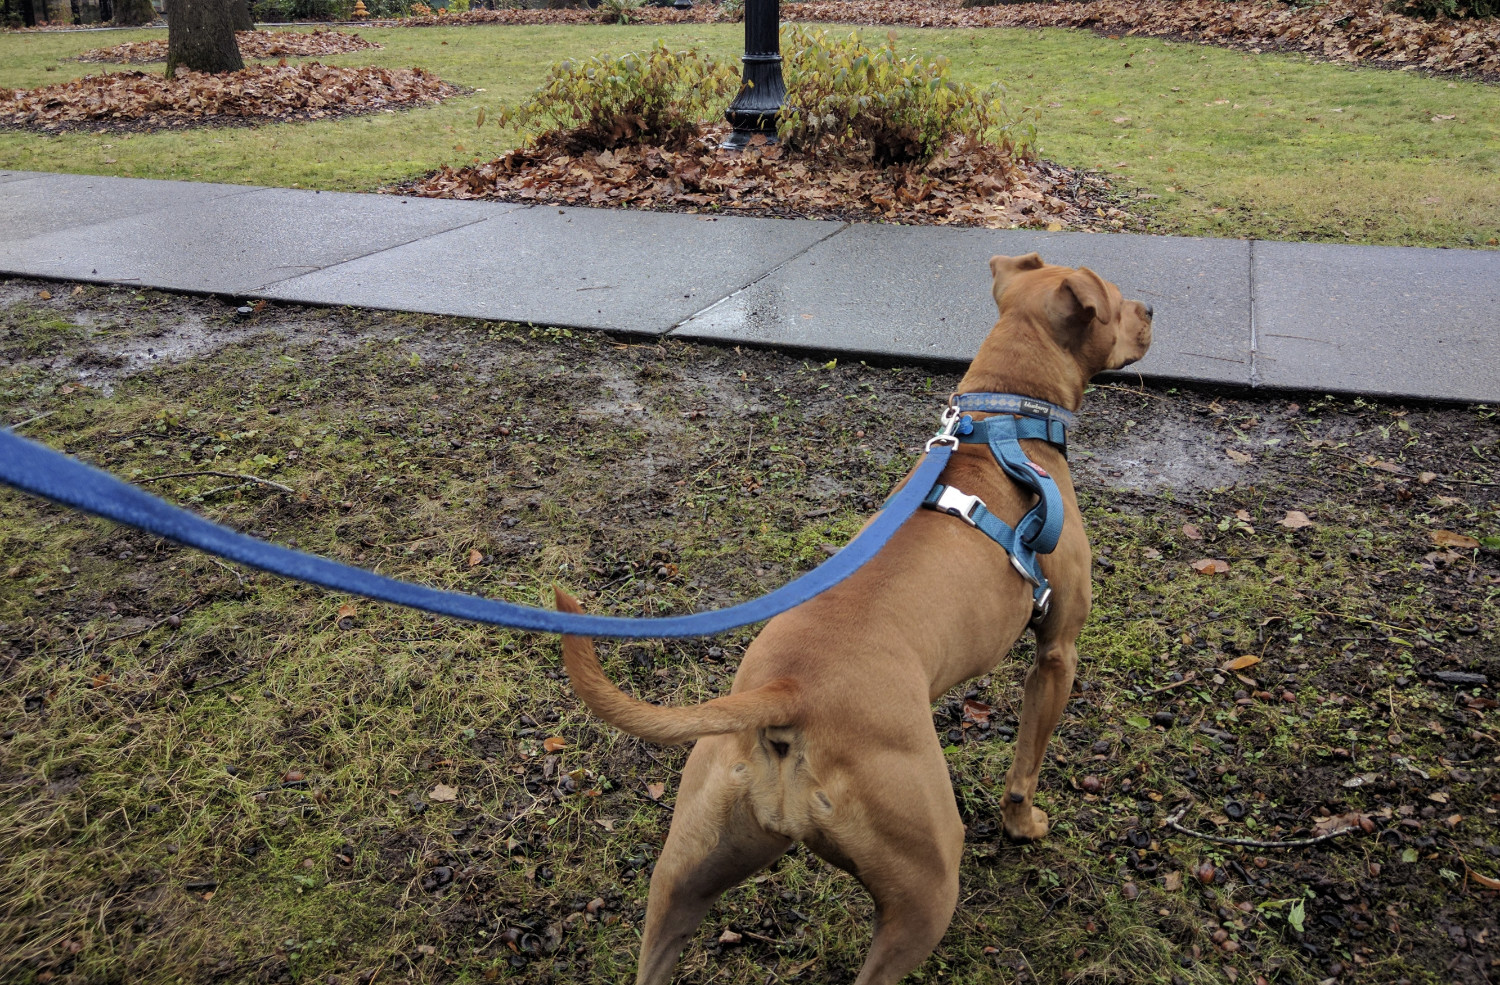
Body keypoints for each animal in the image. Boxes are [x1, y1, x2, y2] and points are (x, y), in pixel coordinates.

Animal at [558, 254, 1152, 983]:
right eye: (1120, 303)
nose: (1151, 311)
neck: (1004, 421)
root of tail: (787, 693)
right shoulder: (1057, 651)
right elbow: (1026, 763)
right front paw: (1024, 824)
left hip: (686, 872)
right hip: (925, 880)